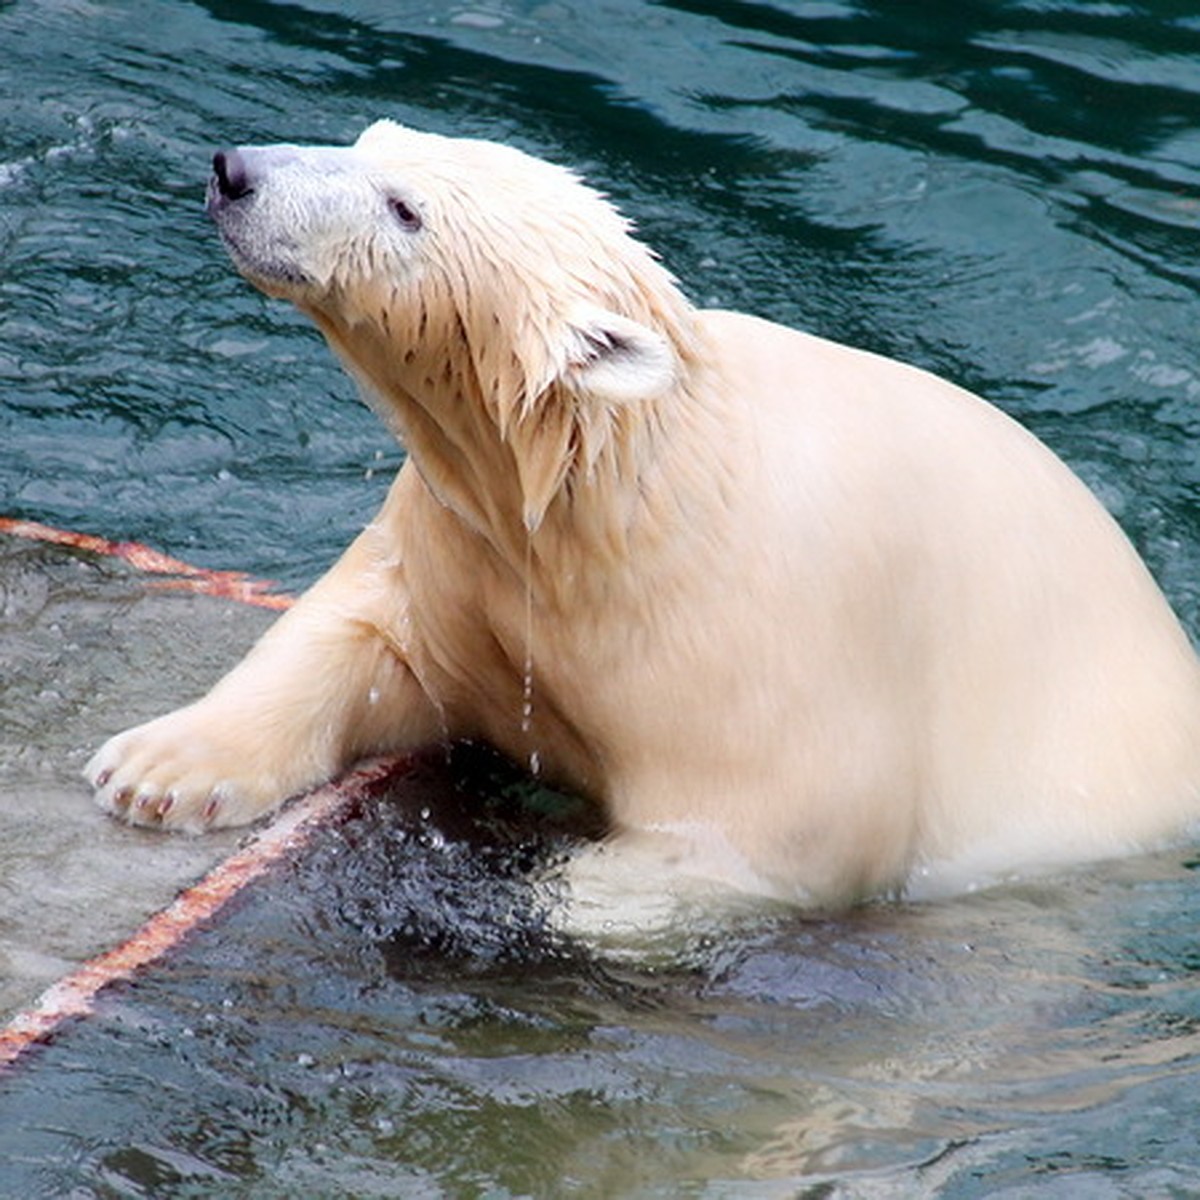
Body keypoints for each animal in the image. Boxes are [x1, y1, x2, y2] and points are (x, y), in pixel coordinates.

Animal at [84, 124, 1200, 907]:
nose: (235, 169)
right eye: (368, 139)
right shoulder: (467, 544)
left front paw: (557, 894)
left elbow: (780, 829)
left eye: (405, 208)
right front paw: (152, 771)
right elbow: (360, 635)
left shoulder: (767, 631)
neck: (617, 492)